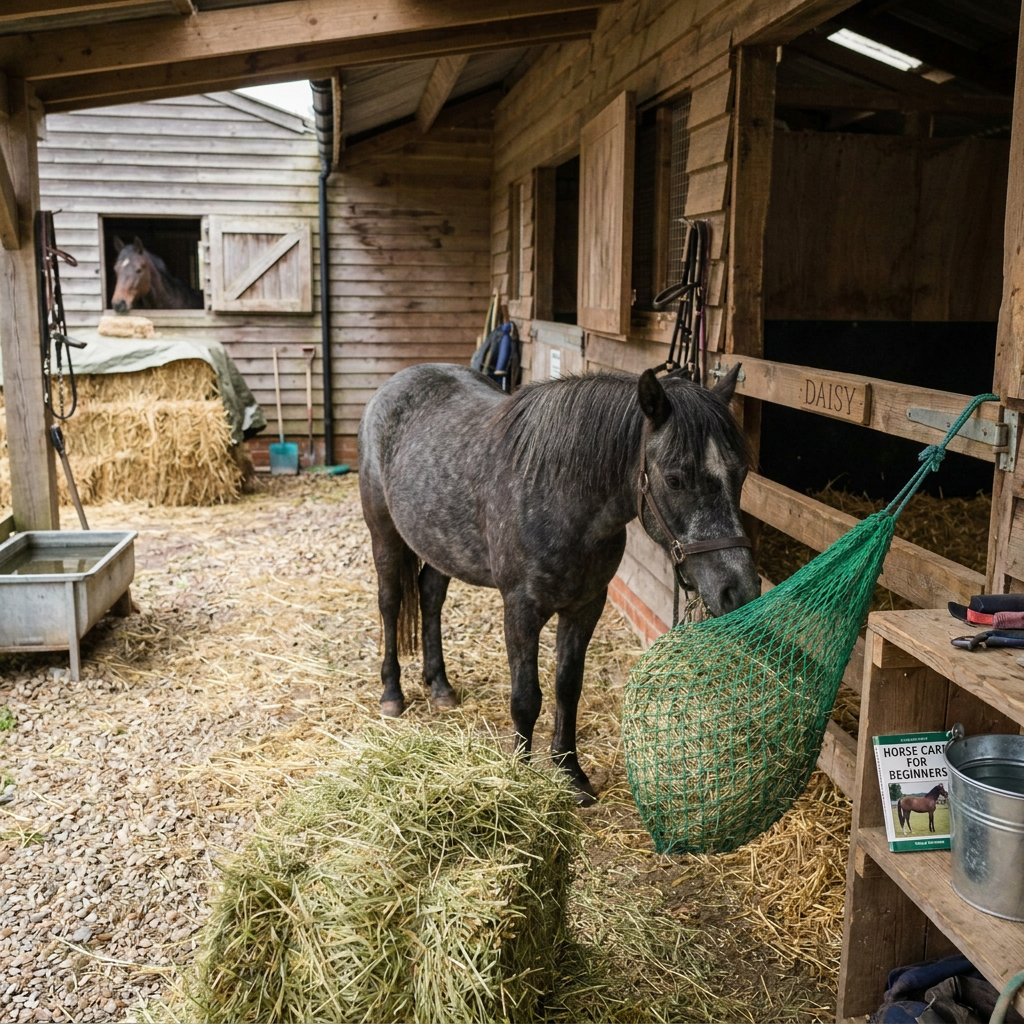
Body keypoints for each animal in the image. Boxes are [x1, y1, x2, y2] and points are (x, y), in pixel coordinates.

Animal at [358, 362, 760, 804]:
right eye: (674, 479)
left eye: (740, 473)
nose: (739, 590)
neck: (559, 496)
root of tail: (395, 384)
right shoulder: (521, 610)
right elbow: (525, 698)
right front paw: (519, 775)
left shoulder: (586, 606)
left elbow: (568, 687)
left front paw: (571, 773)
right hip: (384, 536)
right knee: (390, 603)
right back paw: (392, 694)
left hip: (437, 545)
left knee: (430, 598)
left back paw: (441, 687)